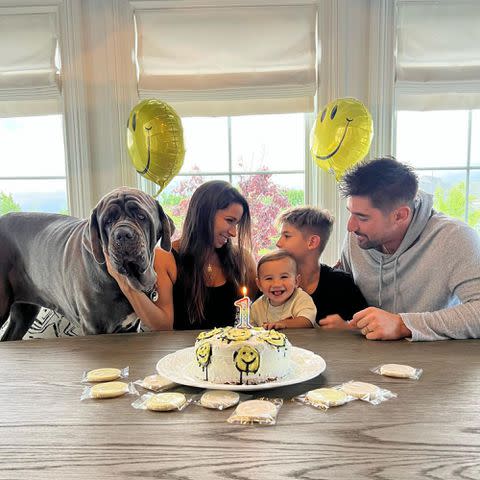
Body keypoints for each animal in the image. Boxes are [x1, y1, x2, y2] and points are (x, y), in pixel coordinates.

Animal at [0, 188, 172, 342]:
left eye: (141, 216)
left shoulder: (131, 327)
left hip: (24, 313)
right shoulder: (94, 327)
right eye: (108, 221)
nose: (123, 234)